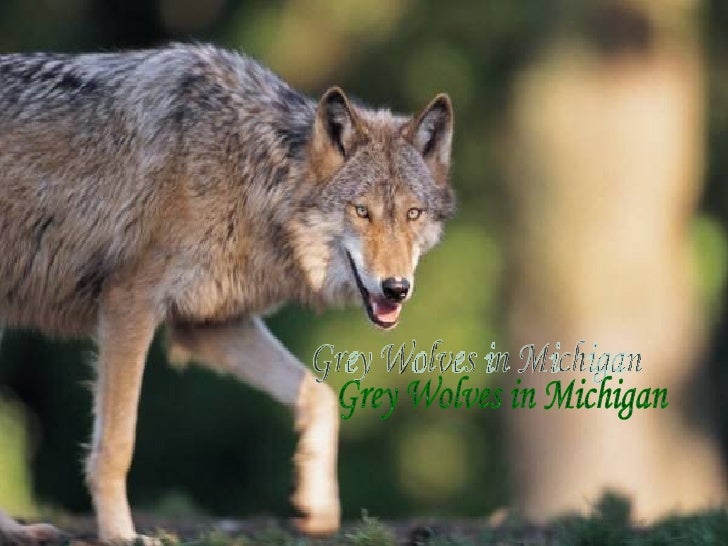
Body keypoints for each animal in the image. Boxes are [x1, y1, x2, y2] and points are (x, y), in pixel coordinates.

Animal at [0, 44, 454, 544]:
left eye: (412, 214)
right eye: (362, 211)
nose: (397, 288)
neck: (249, 171)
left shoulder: (208, 324)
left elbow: (320, 397)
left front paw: (316, 506)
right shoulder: (129, 303)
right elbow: (117, 444)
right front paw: (121, 534)